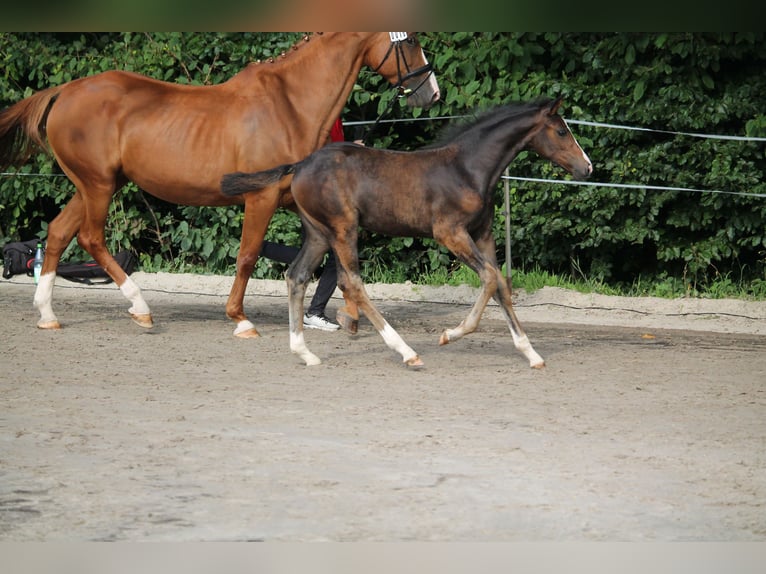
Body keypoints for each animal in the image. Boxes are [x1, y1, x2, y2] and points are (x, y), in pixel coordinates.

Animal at [0, 32, 440, 336]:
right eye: (411, 40)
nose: (432, 92)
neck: (290, 106)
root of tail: (65, 91)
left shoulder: (299, 202)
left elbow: (333, 258)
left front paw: (347, 317)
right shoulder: (261, 198)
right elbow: (247, 256)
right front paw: (240, 320)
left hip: (92, 185)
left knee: (58, 232)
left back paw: (48, 315)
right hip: (99, 186)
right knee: (91, 238)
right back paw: (140, 308)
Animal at [220, 97, 592, 368]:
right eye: (561, 132)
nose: (586, 167)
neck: (467, 169)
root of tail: (300, 165)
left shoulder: (482, 234)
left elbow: (500, 284)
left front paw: (531, 353)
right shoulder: (450, 233)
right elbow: (489, 278)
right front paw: (451, 333)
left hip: (318, 232)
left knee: (296, 275)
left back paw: (305, 353)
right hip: (342, 227)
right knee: (352, 281)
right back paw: (406, 351)